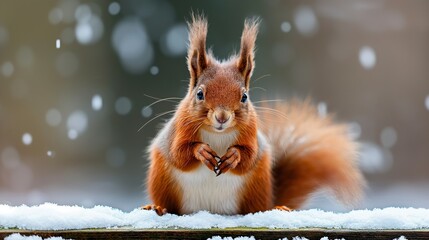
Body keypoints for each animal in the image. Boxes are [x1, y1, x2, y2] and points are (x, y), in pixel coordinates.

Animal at [142, 16, 362, 216]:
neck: (218, 134)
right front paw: (201, 151)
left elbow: (249, 156)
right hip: (163, 183)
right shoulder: (179, 128)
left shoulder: (251, 132)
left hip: (256, 188)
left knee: (257, 208)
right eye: (200, 94)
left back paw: (276, 208)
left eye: (244, 96)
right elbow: (179, 153)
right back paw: (157, 207)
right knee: (170, 205)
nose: (222, 117)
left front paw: (234, 156)